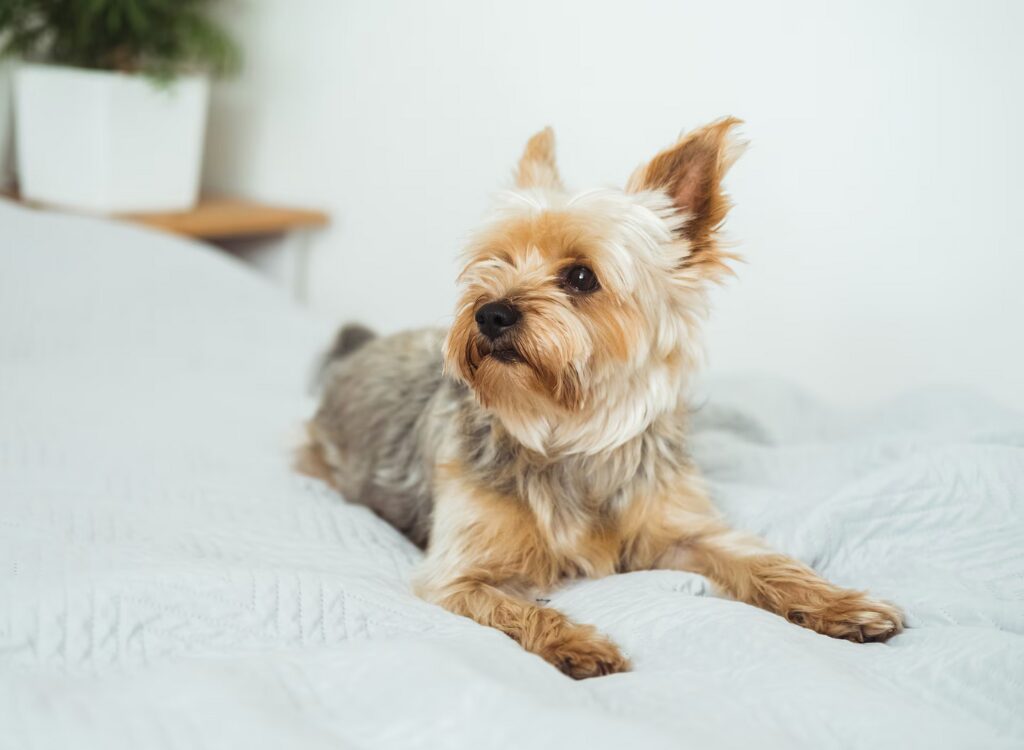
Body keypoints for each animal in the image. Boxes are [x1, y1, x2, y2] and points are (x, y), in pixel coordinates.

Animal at [299, 118, 905, 680]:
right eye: (494, 261)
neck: (571, 433)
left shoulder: (679, 531)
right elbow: (514, 607)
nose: (489, 312)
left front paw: (840, 604)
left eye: (581, 277)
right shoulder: (457, 575)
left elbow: (760, 560)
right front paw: (576, 643)